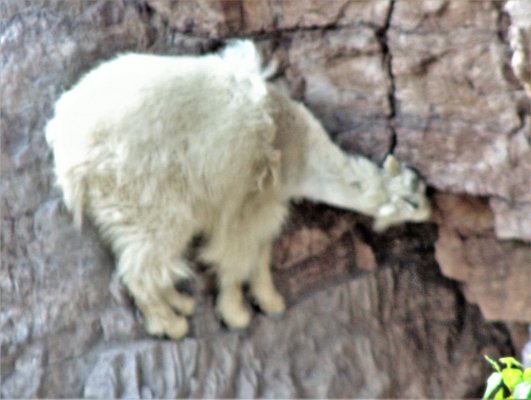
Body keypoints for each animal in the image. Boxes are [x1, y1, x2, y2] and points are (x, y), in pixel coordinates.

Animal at [45, 40, 432, 340]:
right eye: (412, 201)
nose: (430, 211)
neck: (299, 150)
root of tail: (69, 152)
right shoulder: (250, 199)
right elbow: (236, 256)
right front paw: (237, 314)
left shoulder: (268, 201)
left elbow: (261, 253)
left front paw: (270, 301)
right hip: (146, 198)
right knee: (142, 265)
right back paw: (170, 323)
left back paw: (181, 303)